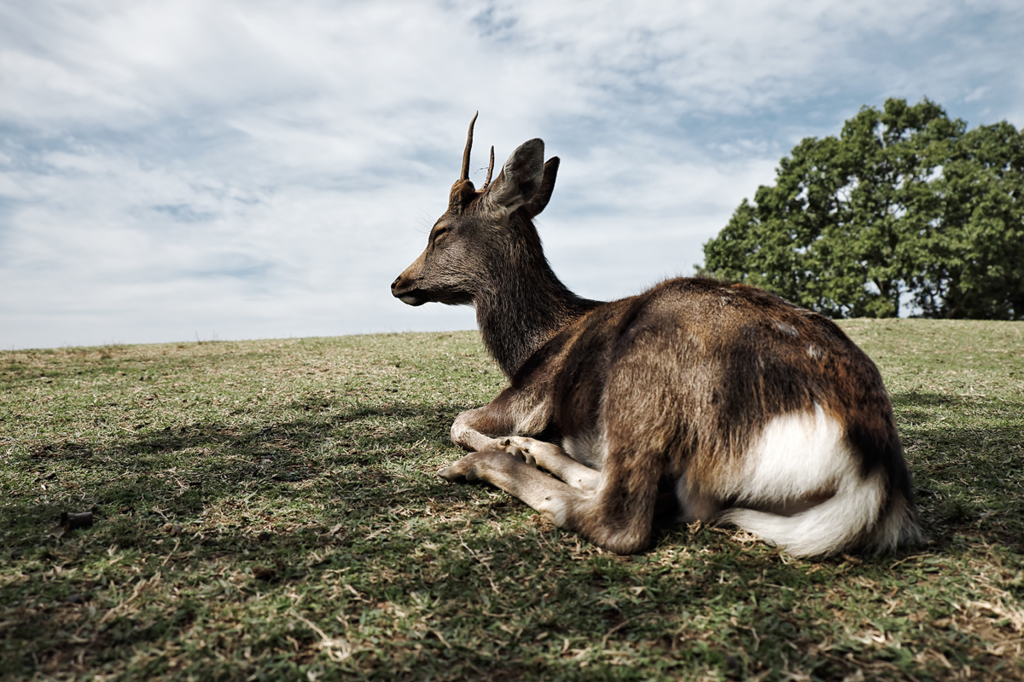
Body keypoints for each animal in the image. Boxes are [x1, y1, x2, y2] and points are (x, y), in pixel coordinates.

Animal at [389, 114, 921, 557]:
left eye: (439, 230)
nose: (398, 282)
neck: (531, 345)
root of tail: (870, 472)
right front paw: (519, 444)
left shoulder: (530, 393)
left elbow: (459, 421)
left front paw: (499, 442)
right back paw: (537, 452)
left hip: (646, 368)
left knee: (620, 519)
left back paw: (491, 461)